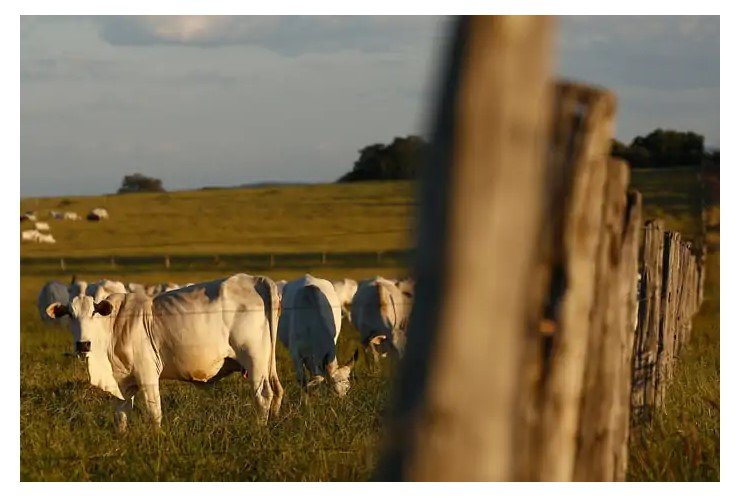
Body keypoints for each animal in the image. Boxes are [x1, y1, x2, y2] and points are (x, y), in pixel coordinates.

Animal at [45, 273, 284, 430]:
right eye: (70, 314)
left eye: (94, 313)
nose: (83, 344)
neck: (115, 326)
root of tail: (256, 280)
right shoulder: (123, 382)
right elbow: (121, 416)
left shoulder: (148, 374)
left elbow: (154, 413)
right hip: (266, 364)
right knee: (277, 391)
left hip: (254, 360)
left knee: (263, 395)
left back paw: (260, 430)